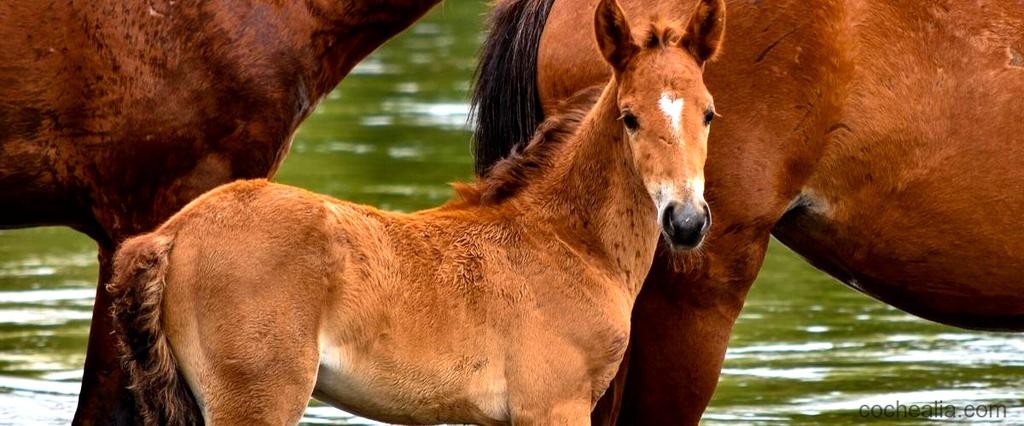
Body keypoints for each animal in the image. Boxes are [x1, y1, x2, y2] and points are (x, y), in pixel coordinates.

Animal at [105, 0, 720, 421]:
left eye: (709, 113)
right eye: (629, 117)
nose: (686, 221)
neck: (567, 241)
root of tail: (171, 234)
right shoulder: (553, 404)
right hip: (256, 400)